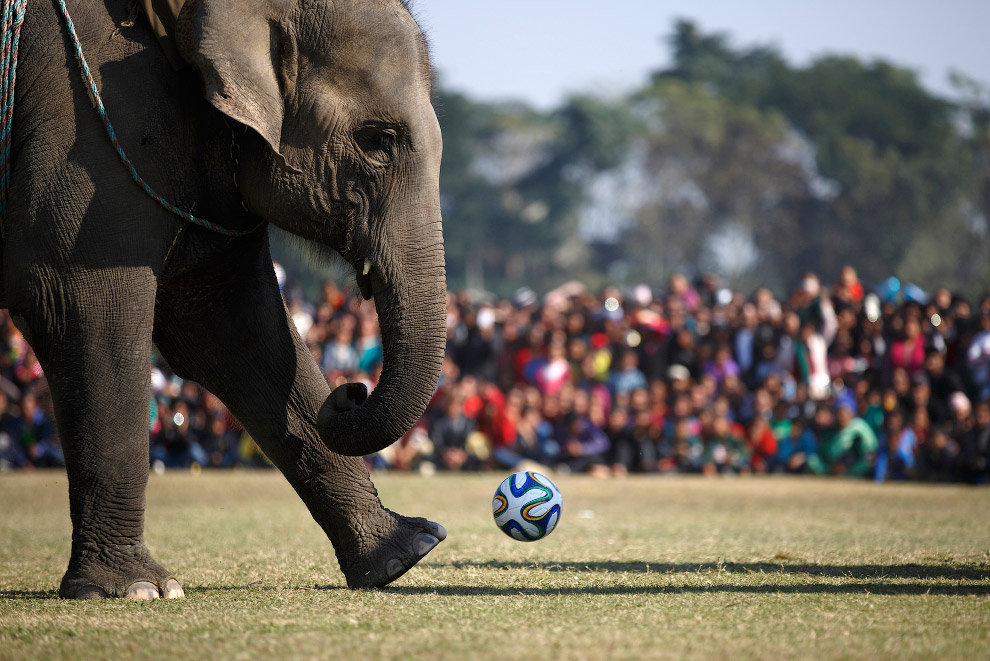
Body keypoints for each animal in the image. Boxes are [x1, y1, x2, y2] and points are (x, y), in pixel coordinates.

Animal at [2, 0, 450, 600]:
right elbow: (79, 300)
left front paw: (407, 553)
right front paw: (139, 590)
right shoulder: (88, 123)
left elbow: (230, 327)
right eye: (377, 139)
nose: (351, 391)